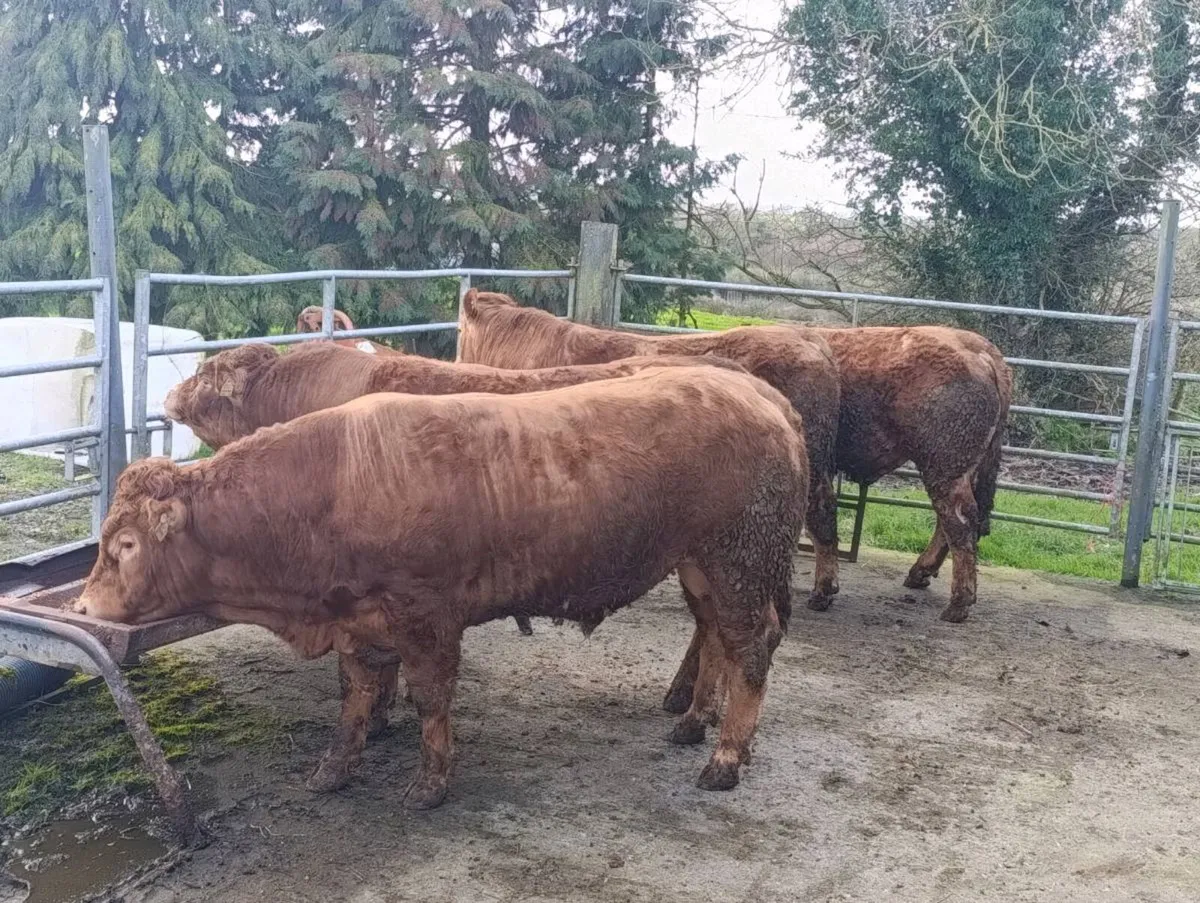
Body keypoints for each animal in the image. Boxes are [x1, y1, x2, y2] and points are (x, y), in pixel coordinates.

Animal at [75, 368, 810, 808]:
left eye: (126, 544)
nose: (82, 605)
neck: (334, 481)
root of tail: (759, 395)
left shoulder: (425, 616)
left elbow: (431, 698)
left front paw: (430, 781)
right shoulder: (358, 621)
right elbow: (355, 700)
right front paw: (334, 769)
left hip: (738, 560)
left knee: (751, 649)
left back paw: (725, 757)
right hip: (703, 568)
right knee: (716, 637)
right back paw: (691, 724)